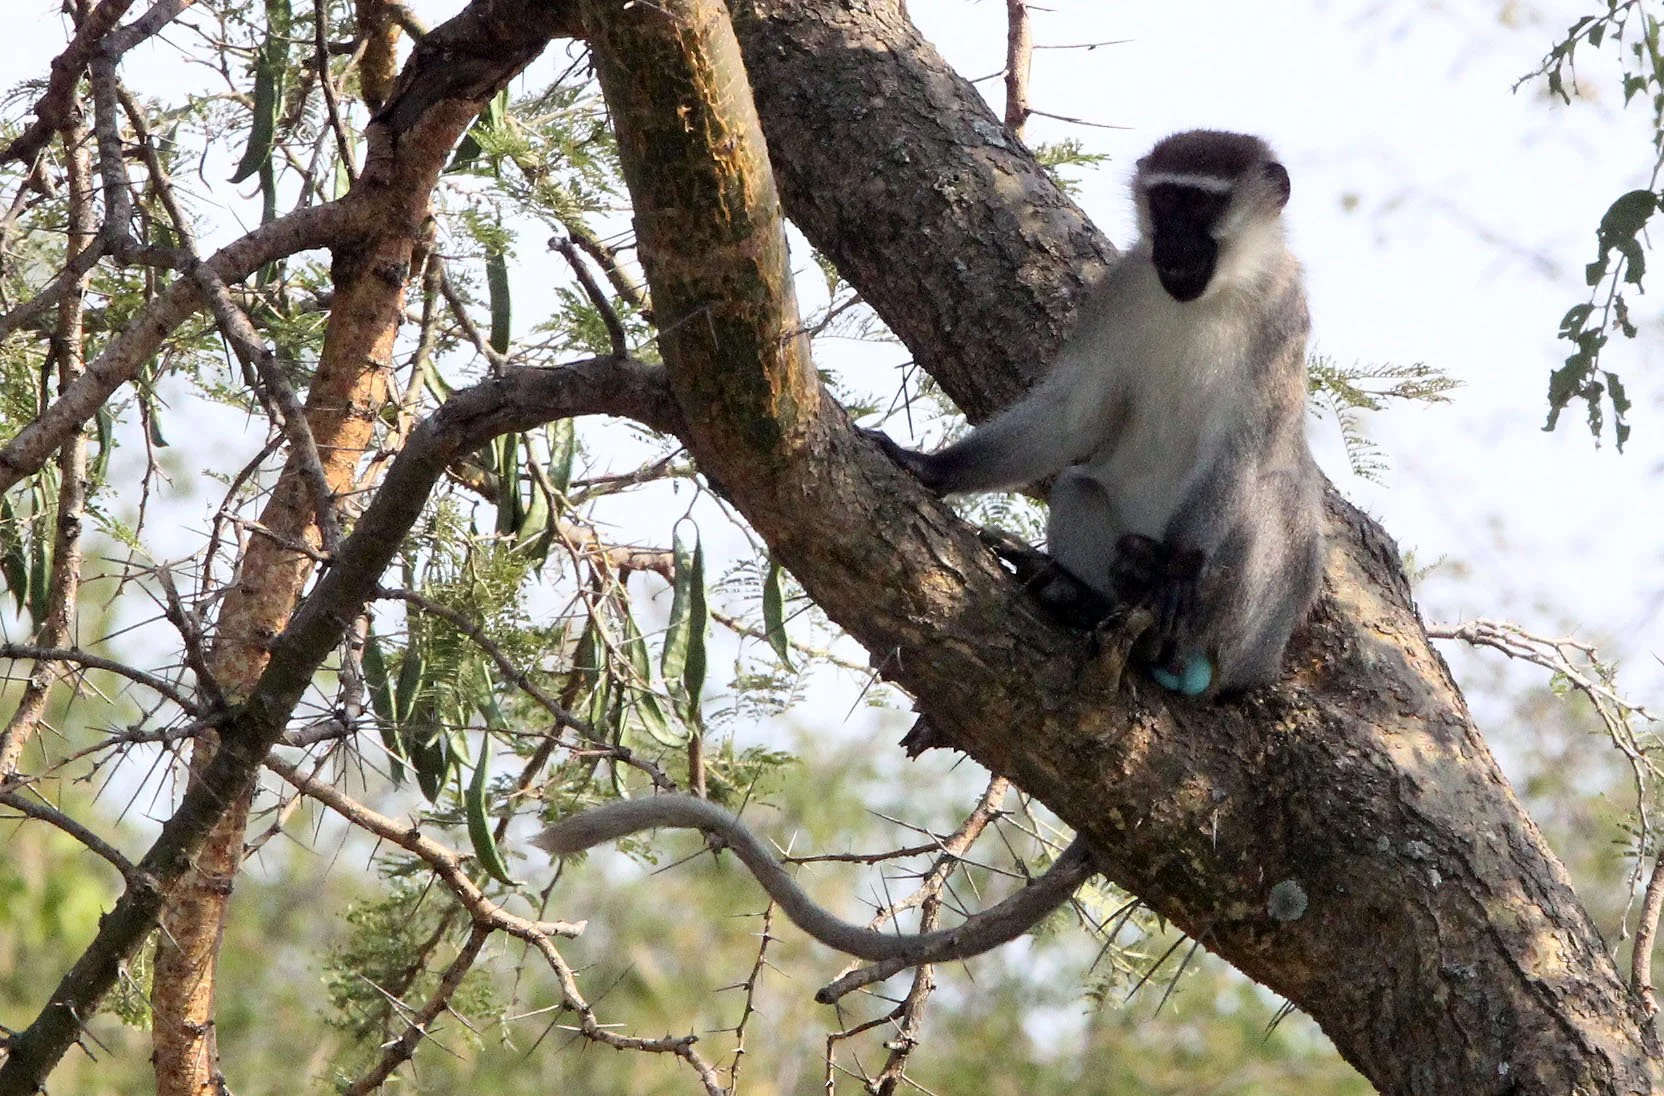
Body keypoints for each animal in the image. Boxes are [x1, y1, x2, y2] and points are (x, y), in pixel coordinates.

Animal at [869, 130, 1324, 697]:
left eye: (1199, 203)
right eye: (1165, 200)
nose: (1172, 242)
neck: (1213, 294)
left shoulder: (1283, 313)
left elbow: (1238, 448)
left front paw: (1175, 566)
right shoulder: (1122, 285)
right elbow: (1073, 413)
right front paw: (931, 466)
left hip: (1248, 645)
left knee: (1273, 493)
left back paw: (1163, 630)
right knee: (1076, 487)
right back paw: (1089, 601)